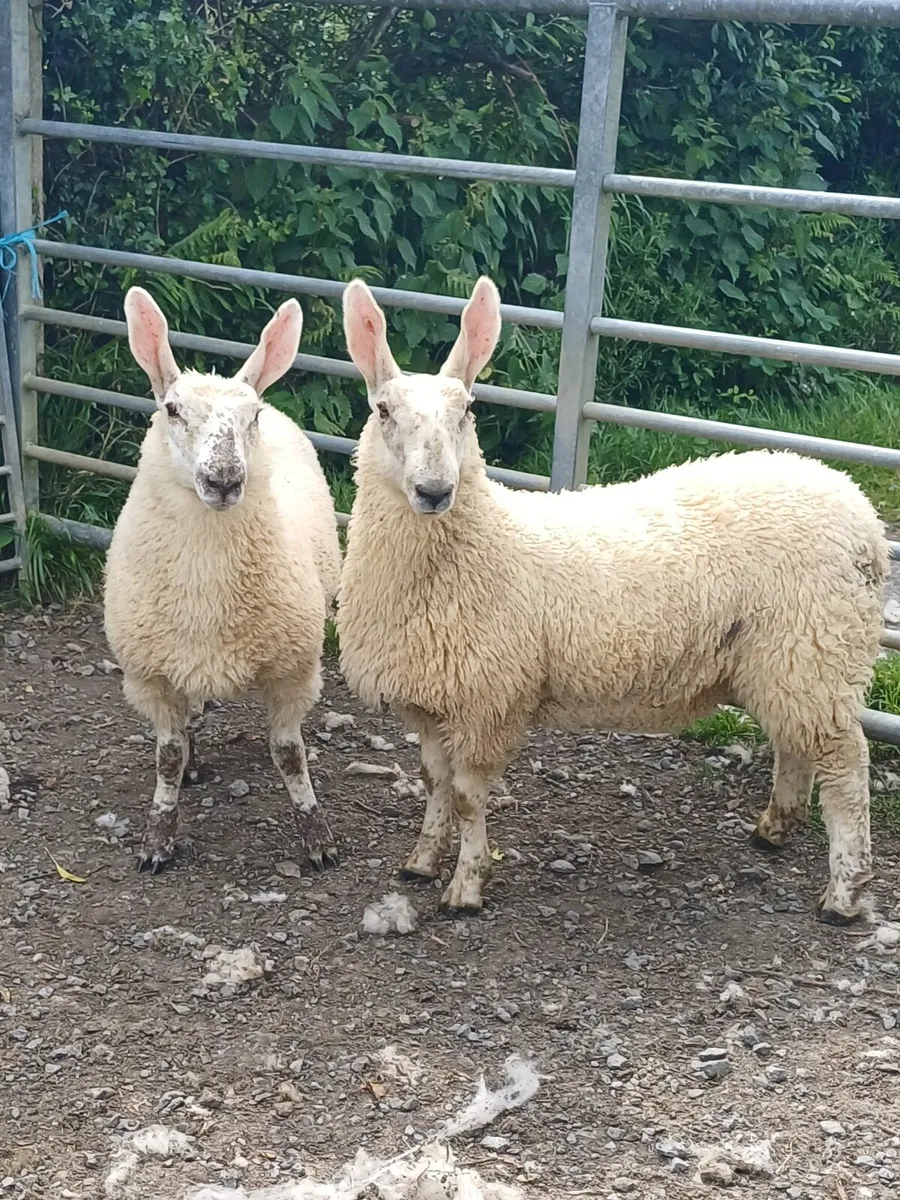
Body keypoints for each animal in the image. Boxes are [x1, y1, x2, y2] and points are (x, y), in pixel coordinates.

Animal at [104, 286, 342, 874]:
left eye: (250, 416)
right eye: (171, 409)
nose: (224, 480)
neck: (208, 595)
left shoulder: (292, 669)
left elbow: (289, 754)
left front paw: (317, 837)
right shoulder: (151, 674)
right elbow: (166, 757)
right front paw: (158, 839)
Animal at [337, 275, 887, 924]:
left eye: (468, 411)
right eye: (383, 410)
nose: (434, 491)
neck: (479, 546)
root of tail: (860, 512)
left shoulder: (488, 700)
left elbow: (469, 799)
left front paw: (465, 888)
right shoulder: (432, 698)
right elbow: (434, 783)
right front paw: (421, 861)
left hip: (817, 649)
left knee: (846, 768)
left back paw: (843, 892)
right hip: (787, 659)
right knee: (797, 745)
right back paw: (774, 828)